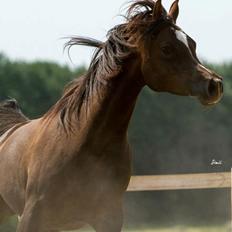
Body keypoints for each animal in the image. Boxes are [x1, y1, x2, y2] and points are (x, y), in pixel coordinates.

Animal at [0, 0, 224, 232]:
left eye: (192, 44)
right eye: (166, 48)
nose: (214, 85)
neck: (83, 142)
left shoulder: (108, 218)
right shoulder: (31, 218)